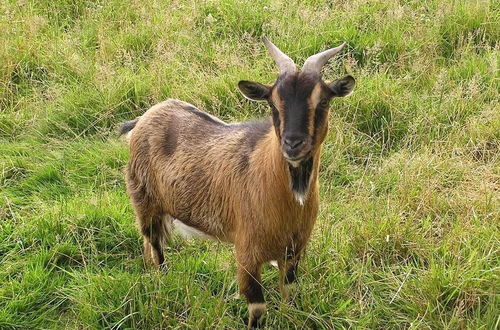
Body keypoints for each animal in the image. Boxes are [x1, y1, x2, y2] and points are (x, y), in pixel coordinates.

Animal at [121, 36, 356, 328]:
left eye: (323, 102)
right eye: (273, 104)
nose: (293, 143)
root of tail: (142, 120)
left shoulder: (294, 251)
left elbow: (290, 294)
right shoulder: (246, 252)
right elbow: (257, 307)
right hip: (144, 201)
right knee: (155, 246)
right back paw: (163, 279)